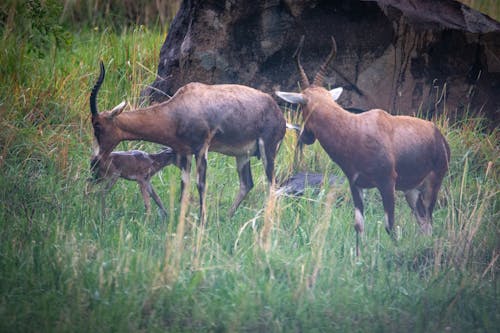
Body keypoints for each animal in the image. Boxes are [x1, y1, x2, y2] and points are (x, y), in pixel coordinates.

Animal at [89, 61, 286, 224]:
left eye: (97, 125)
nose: (94, 161)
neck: (179, 108)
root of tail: (279, 114)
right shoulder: (186, 154)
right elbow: (184, 187)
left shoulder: (201, 150)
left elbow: (200, 184)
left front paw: (202, 222)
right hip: (242, 155)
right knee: (247, 183)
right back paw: (227, 217)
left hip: (268, 151)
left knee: (272, 184)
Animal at [276, 36, 452, 254]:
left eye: (302, 105)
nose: (305, 137)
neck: (354, 128)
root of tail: (439, 135)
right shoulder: (356, 185)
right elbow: (359, 225)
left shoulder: (387, 183)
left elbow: (390, 226)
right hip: (411, 190)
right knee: (422, 220)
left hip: (432, 183)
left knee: (427, 219)